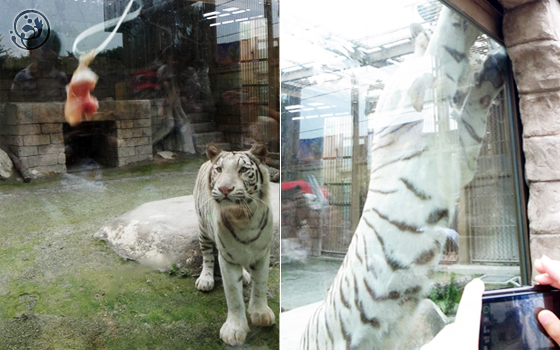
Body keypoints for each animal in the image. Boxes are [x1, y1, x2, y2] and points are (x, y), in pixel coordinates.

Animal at [194, 143, 276, 348]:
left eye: (243, 170)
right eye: (219, 169)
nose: (224, 189)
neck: (243, 217)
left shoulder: (262, 253)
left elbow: (260, 284)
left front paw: (261, 313)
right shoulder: (227, 258)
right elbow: (233, 294)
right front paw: (234, 330)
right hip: (203, 228)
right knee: (207, 256)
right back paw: (205, 279)